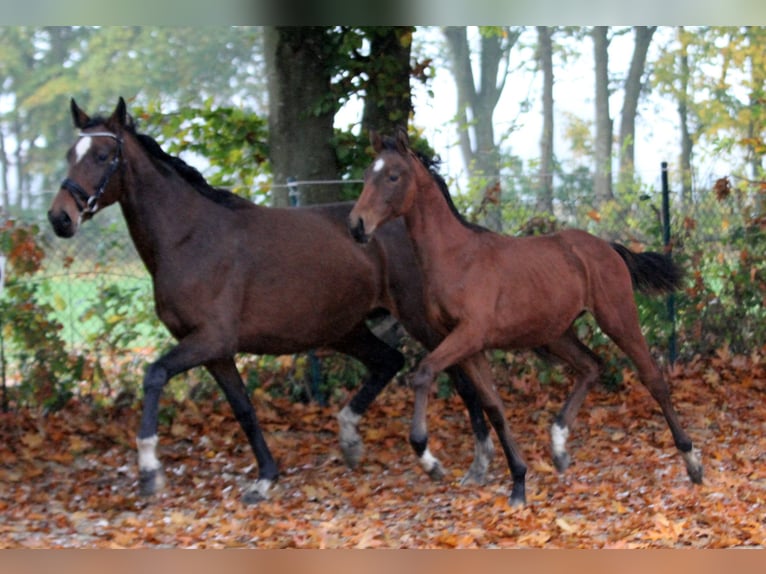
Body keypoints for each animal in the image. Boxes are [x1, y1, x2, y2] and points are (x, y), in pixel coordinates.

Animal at [48, 98, 496, 504]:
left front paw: (149, 473)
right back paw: (351, 440)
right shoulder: (215, 352)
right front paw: (265, 478)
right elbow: (244, 410)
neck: (189, 238)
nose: (60, 218)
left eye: (103, 155)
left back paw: (467, 460)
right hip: (344, 328)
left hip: (418, 319)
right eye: (70, 155)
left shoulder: (209, 339)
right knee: (389, 361)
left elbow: (154, 375)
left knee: (456, 375)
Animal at [352, 130, 704, 508]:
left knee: (652, 378)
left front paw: (428, 458)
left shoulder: (469, 335)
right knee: (591, 366)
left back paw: (693, 462)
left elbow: (423, 373)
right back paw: (559, 447)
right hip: (555, 332)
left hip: (618, 317)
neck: (456, 258)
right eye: (367, 175)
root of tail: (608, 247)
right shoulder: (469, 345)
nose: (357, 225)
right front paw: (519, 483)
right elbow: (493, 406)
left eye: (393, 176)